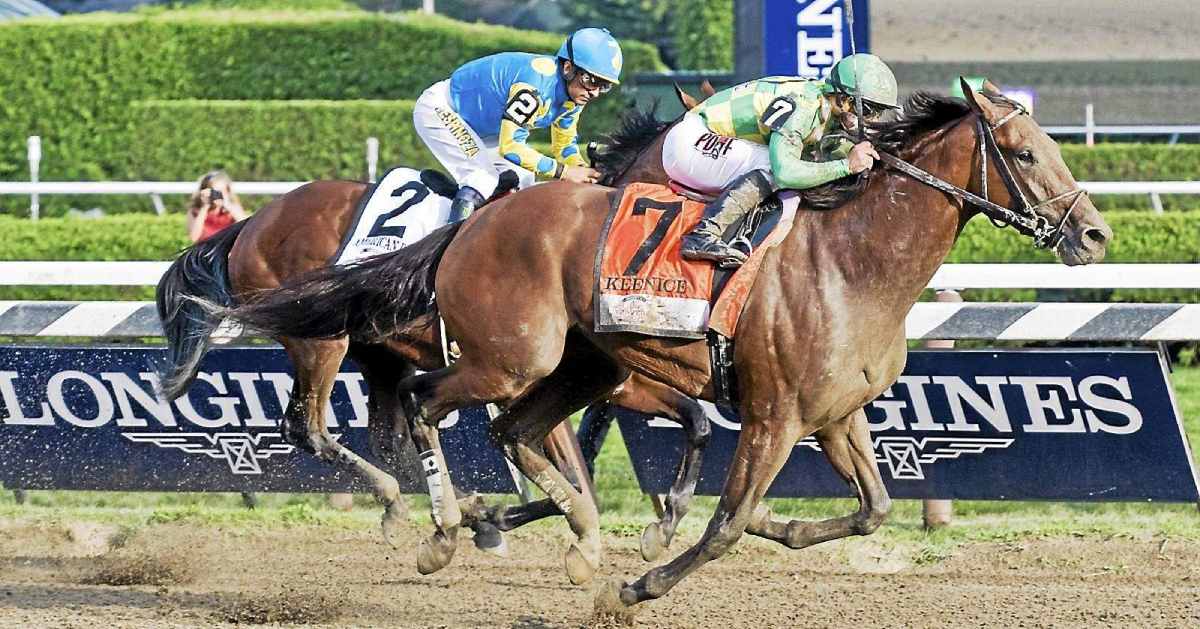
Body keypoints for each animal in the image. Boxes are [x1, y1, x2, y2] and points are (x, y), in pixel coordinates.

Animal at [208, 81, 1113, 607]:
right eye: (1026, 151)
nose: (1095, 234)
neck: (850, 260)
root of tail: (473, 222)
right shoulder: (773, 416)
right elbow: (725, 521)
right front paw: (638, 580)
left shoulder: (833, 414)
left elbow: (872, 508)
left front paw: (772, 530)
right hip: (506, 357)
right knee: (421, 407)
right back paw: (439, 525)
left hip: (573, 365)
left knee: (505, 430)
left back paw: (559, 529)